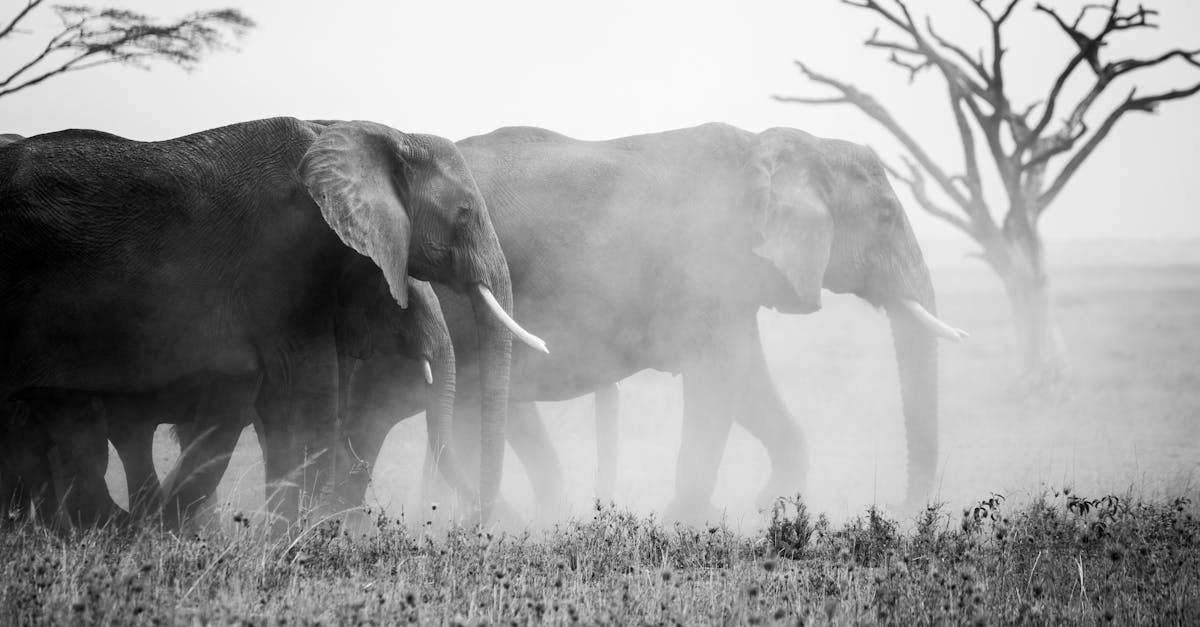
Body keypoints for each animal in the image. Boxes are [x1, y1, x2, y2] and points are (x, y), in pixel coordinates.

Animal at [0, 115, 542, 521]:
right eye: (466, 212)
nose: (478, 524)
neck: (372, 133)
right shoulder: (283, 259)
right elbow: (311, 393)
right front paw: (302, 544)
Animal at [338, 120, 964, 516]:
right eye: (886, 217)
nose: (902, 510)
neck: (782, 142)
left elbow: (748, 383)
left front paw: (766, 505)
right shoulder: (709, 260)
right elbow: (721, 380)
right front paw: (689, 520)